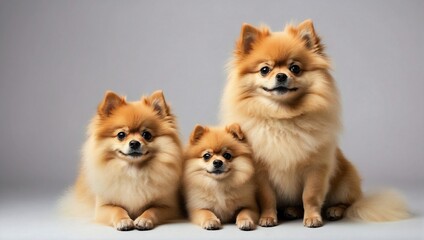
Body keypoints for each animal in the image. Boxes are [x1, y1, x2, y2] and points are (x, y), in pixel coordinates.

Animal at [59, 90, 182, 231]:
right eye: (121, 135)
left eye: (147, 135)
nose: (134, 143)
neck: (134, 172)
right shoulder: (102, 207)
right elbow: (117, 209)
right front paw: (123, 220)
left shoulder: (169, 207)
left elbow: (152, 210)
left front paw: (144, 219)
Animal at [220, 19, 410, 228]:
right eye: (264, 70)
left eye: (295, 68)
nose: (281, 76)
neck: (283, 117)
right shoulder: (261, 173)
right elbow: (268, 198)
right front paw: (268, 217)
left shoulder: (315, 169)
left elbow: (310, 196)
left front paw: (312, 217)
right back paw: (292, 210)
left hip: (345, 182)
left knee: (348, 204)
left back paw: (334, 210)